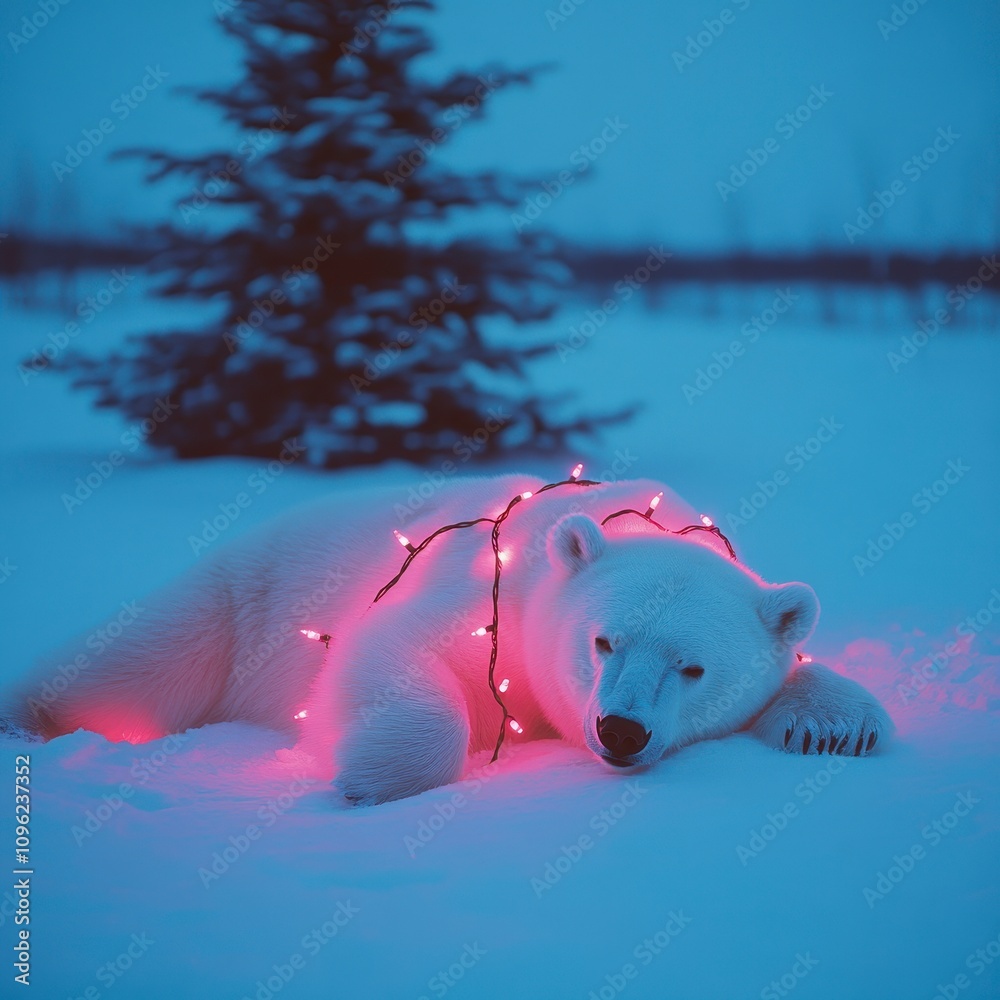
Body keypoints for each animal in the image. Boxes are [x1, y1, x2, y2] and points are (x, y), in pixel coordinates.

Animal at [0, 474, 892, 804]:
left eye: (695, 668)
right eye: (601, 643)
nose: (620, 731)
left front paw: (839, 723)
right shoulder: (493, 595)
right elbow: (392, 651)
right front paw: (365, 774)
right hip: (234, 596)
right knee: (129, 669)